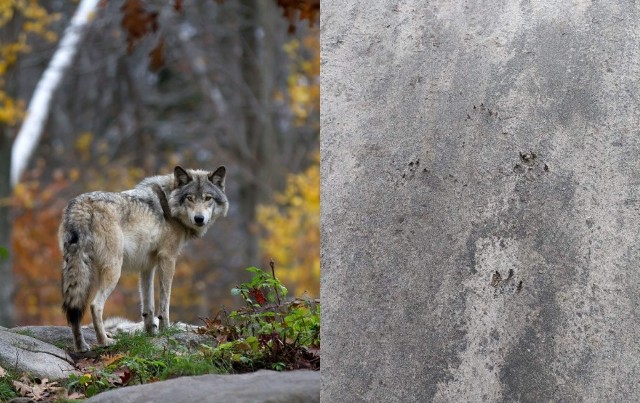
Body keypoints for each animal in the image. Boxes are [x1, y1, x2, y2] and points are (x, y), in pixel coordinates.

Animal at [60, 166, 229, 352]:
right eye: (190, 198)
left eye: (208, 198)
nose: (199, 219)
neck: (169, 205)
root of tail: (81, 205)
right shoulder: (168, 259)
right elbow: (164, 303)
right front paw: (165, 330)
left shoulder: (147, 266)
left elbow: (148, 306)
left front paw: (150, 333)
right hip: (113, 270)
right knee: (95, 305)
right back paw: (105, 341)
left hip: (79, 272)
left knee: (74, 310)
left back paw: (81, 346)